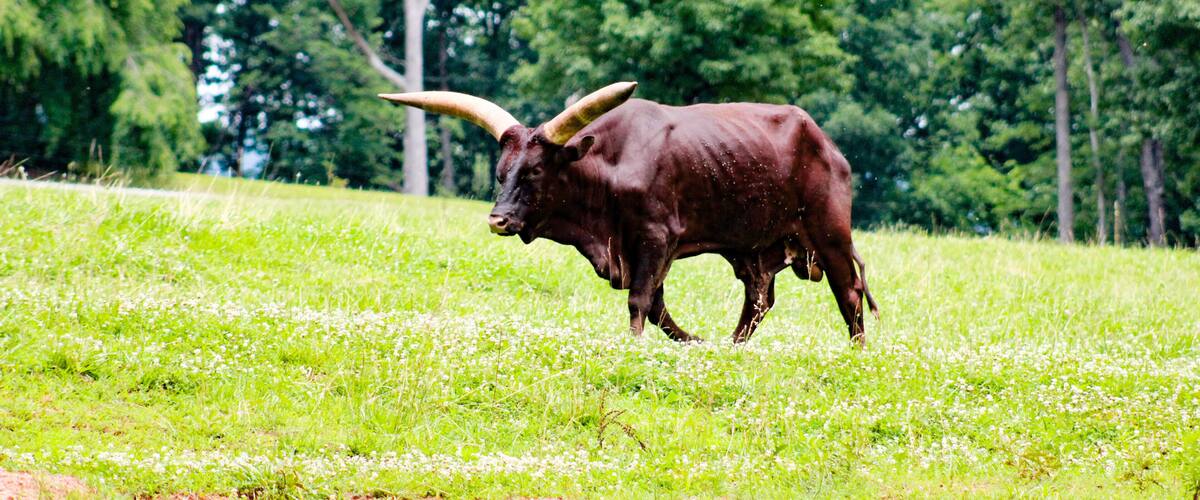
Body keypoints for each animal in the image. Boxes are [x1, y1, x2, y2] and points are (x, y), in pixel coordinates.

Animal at [380, 82, 879, 345]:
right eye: (502, 171)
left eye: (537, 170)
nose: (497, 220)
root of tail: (826, 142)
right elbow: (658, 308)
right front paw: (694, 343)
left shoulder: (654, 239)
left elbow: (641, 302)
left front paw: (635, 345)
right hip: (756, 249)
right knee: (757, 301)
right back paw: (733, 346)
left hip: (830, 233)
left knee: (848, 293)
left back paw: (857, 352)